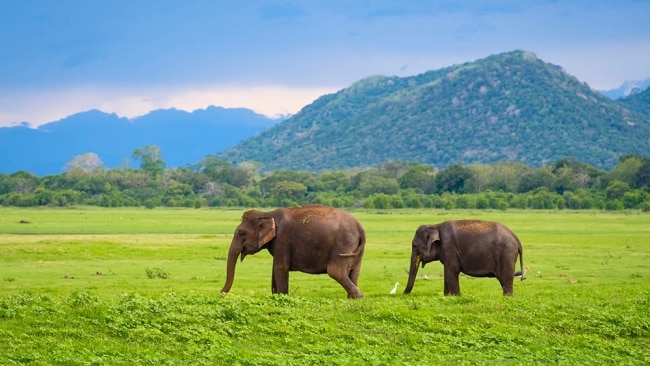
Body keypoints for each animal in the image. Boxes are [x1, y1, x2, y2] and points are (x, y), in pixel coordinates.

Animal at [220, 204, 368, 298]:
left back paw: (359, 297)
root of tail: (360, 227)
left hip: (343, 244)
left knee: (336, 271)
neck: (267, 214)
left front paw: (282, 297)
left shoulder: (282, 239)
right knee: (354, 271)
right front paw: (275, 296)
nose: (220, 294)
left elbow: (280, 267)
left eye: (241, 233)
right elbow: (275, 268)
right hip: (356, 250)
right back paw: (351, 299)